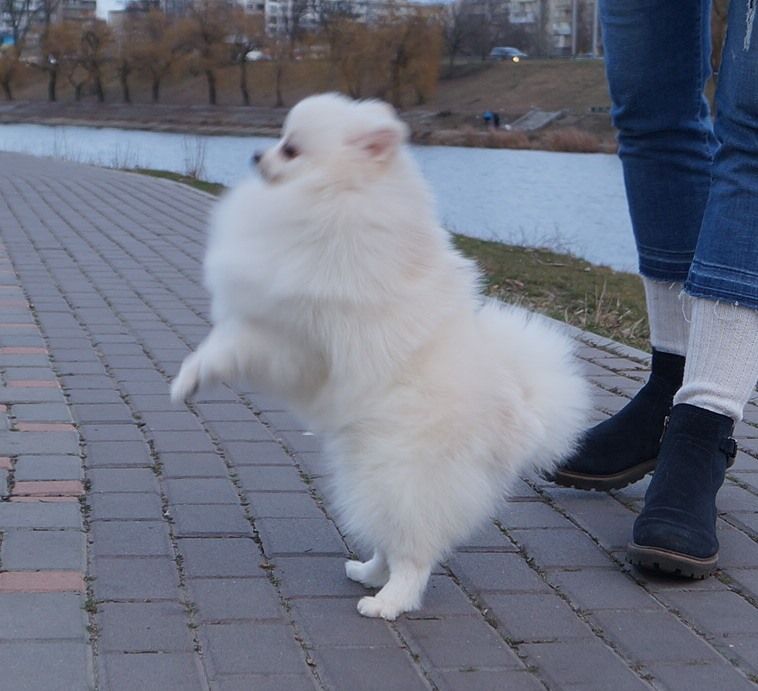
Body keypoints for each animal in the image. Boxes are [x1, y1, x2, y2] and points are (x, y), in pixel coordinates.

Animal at [174, 93, 592, 620]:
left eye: (291, 149)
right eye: (281, 139)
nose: (255, 155)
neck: (337, 195)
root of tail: (518, 418)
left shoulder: (294, 334)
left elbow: (232, 343)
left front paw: (192, 377)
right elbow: (217, 343)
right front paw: (186, 380)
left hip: (401, 475)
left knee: (415, 552)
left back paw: (389, 601)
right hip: (367, 469)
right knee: (391, 538)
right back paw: (367, 571)